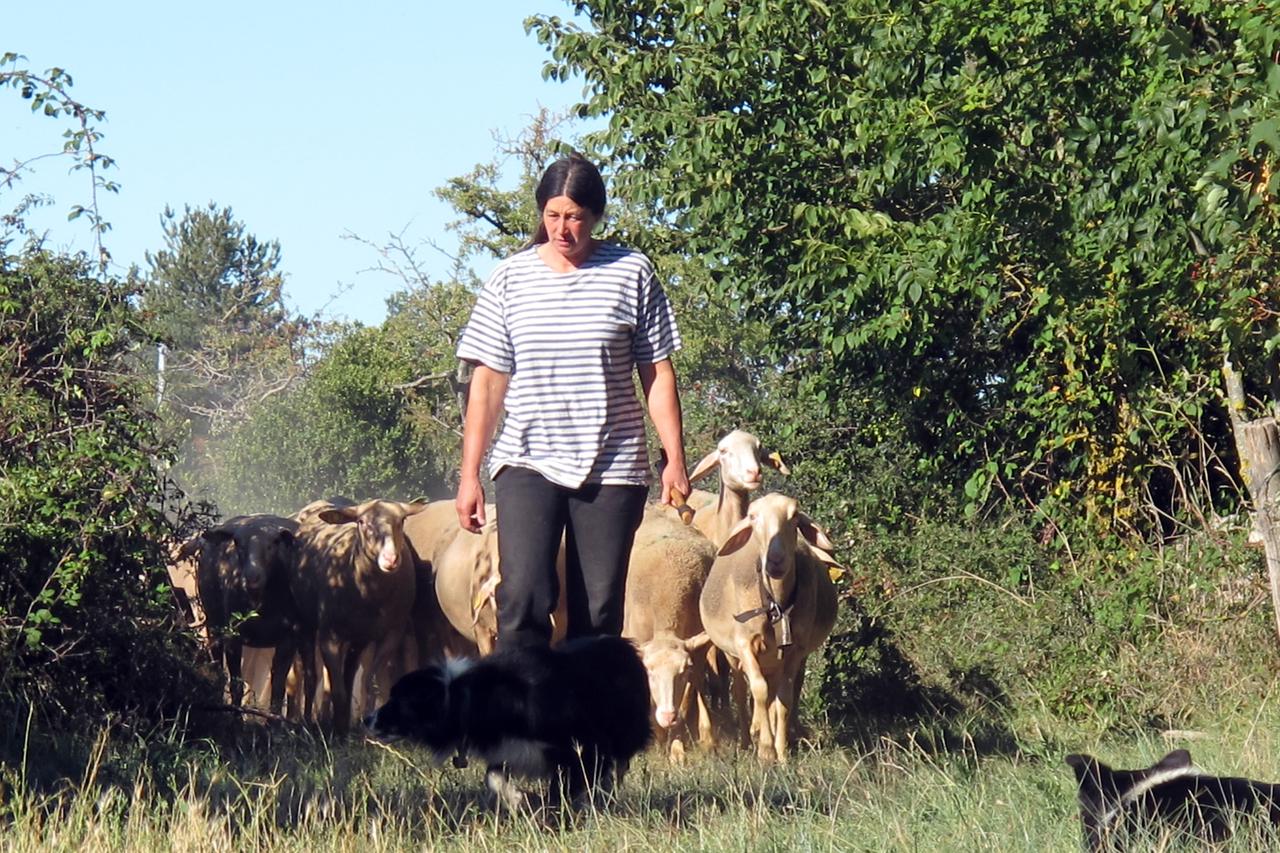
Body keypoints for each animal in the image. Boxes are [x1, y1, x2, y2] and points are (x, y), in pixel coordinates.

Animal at [180, 512, 302, 712]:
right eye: (237, 542)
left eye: (274, 542)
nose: (252, 577)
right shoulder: (233, 634)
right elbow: (236, 684)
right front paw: (235, 715)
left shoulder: (289, 638)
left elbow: (278, 689)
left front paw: (275, 719)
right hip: (214, 621)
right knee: (217, 667)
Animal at [290, 499, 430, 732]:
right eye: (362, 522)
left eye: (402, 520)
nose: (391, 559)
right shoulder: (330, 636)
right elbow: (336, 689)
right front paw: (338, 731)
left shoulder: (391, 633)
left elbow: (369, 684)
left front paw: (364, 729)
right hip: (306, 624)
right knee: (309, 676)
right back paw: (306, 720)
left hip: (358, 638)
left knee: (348, 675)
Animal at [368, 635, 650, 809]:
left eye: (397, 701)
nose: (366, 719)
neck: (468, 697)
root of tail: (626, 645)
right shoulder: (507, 749)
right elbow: (493, 777)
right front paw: (517, 799)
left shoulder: (584, 746)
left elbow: (566, 786)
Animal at [701, 491, 839, 763]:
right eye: (753, 517)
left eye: (794, 516)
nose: (775, 561)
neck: (776, 604)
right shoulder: (745, 644)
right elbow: (759, 691)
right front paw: (765, 750)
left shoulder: (794, 650)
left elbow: (783, 698)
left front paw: (782, 752)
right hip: (733, 655)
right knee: (741, 691)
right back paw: (746, 741)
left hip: (777, 658)